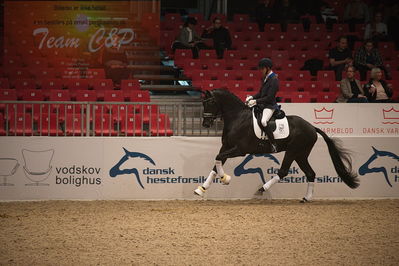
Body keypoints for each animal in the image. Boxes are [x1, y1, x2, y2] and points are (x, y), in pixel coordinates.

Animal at [195, 89, 360, 202]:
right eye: (203, 103)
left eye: (210, 102)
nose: (206, 124)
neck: (237, 118)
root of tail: (312, 127)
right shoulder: (226, 147)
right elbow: (216, 162)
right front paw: (202, 189)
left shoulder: (240, 150)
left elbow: (218, 158)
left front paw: (225, 178)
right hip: (301, 154)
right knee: (310, 173)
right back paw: (306, 198)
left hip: (293, 151)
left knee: (283, 171)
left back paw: (262, 189)